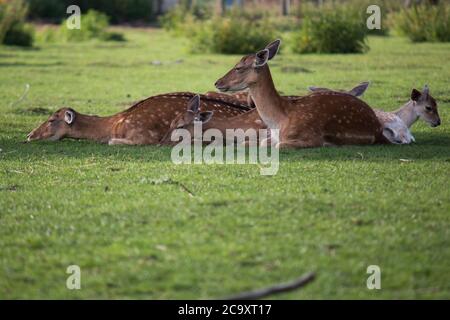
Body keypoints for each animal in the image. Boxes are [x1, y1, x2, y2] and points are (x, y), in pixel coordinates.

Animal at [214, 40, 386, 149]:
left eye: (239, 67)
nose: (217, 82)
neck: (279, 122)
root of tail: (379, 128)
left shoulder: (311, 138)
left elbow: (280, 145)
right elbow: (255, 143)